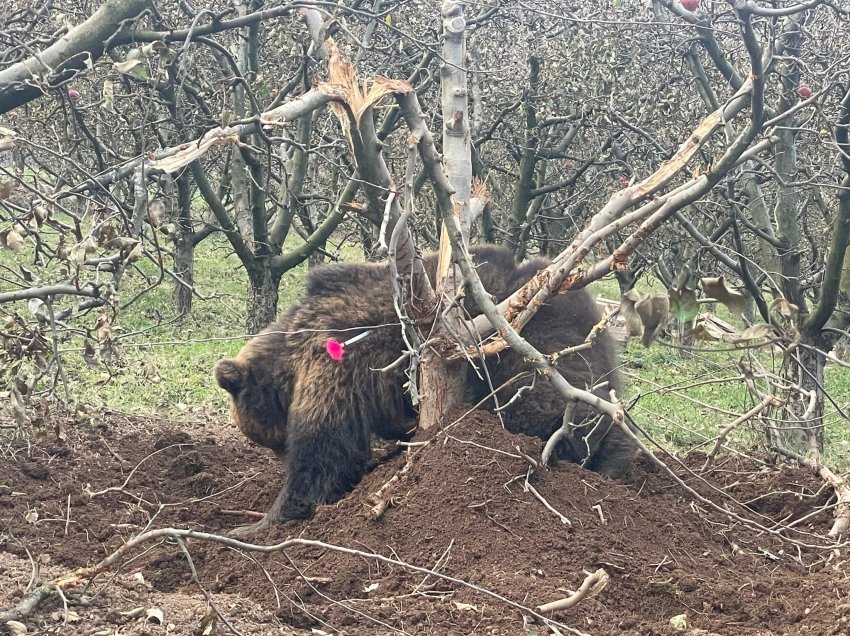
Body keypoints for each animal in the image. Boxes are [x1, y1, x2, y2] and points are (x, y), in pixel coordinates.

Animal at [215, 245, 632, 532]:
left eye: (269, 439)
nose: (277, 454)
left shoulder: (339, 363)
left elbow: (325, 450)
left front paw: (259, 522)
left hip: (526, 357)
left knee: (543, 415)